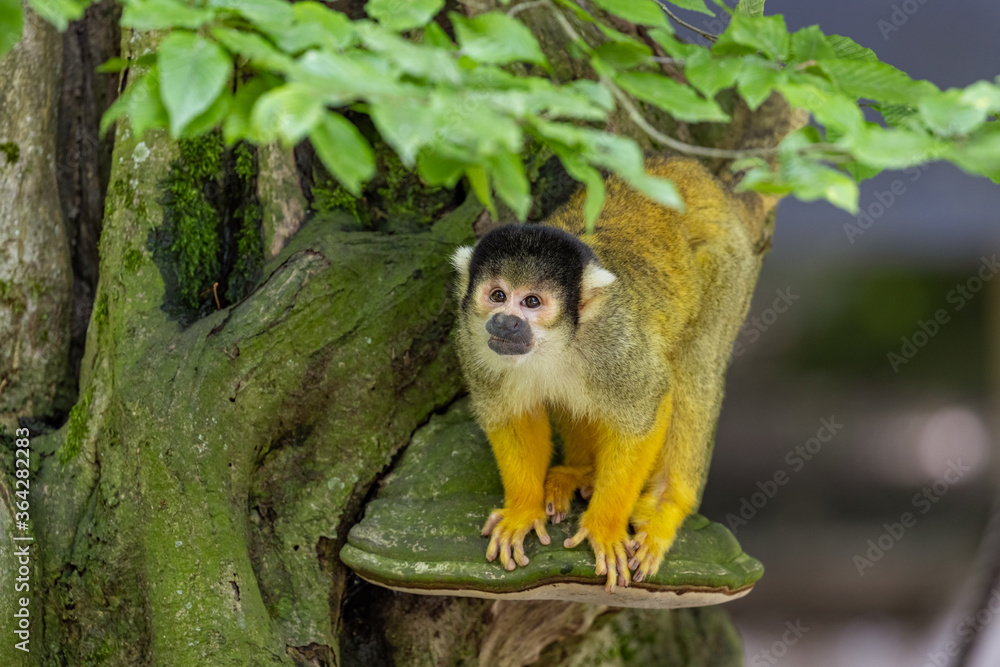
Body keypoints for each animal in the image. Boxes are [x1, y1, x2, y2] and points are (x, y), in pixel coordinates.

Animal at [451, 156, 762, 592]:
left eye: (532, 302)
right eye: (497, 295)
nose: (506, 322)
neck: (555, 342)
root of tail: (689, 170)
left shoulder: (616, 341)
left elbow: (647, 409)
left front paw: (604, 528)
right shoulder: (472, 340)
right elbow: (512, 416)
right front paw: (522, 511)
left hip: (727, 267)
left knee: (694, 370)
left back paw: (666, 504)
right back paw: (577, 473)